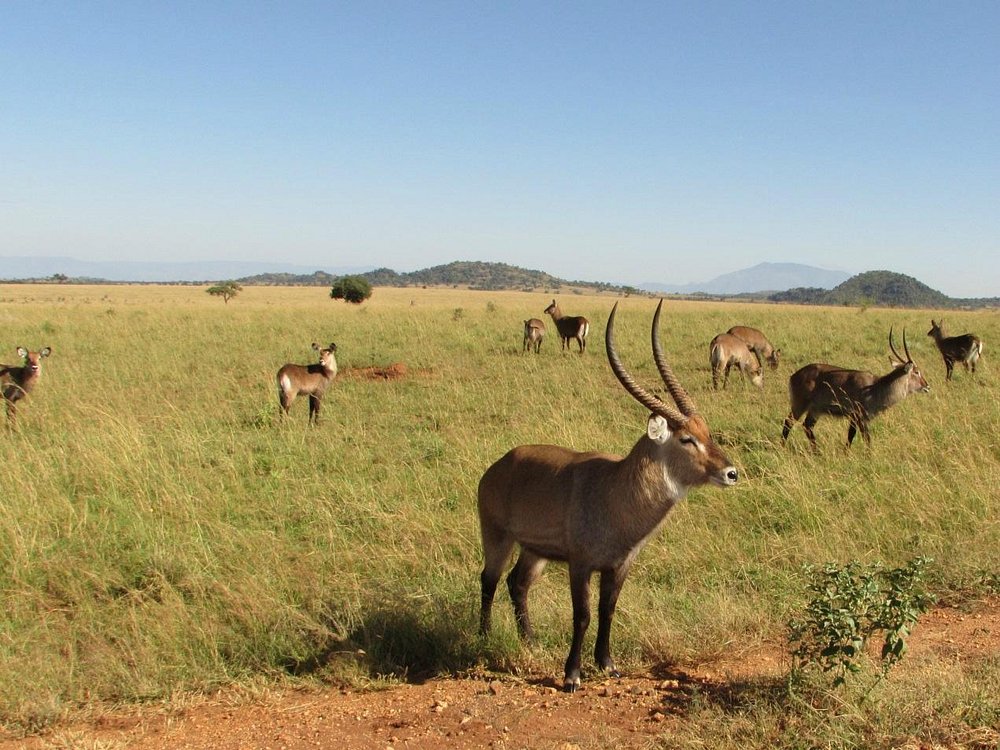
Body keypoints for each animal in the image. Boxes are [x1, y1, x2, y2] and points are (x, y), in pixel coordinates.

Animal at [478, 300, 738, 692]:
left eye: (706, 431)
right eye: (686, 438)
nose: (731, 473)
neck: (616, 491)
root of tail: (499, 464)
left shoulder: (619, 565)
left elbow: (608, 610)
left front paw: (607, 664)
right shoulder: (580, 564)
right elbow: (582, 615)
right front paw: (572, 675)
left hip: (535, 552)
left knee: (517, 583)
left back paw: (530, 641)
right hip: (498, 539)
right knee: (489, 581)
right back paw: (483, 639)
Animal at [781, 328, 929, 451]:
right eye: (917, 372)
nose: (927, 385)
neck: (875, 387)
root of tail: (794, 375)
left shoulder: (854, 418)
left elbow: (850, 435)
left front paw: (846, 453)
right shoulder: (860, 417)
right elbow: (866, 438)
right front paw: (869, 456)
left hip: (815, 409)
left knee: (807, 426)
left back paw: (817, 452)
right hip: (800, 405)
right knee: (788, 422)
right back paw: (782, 447)